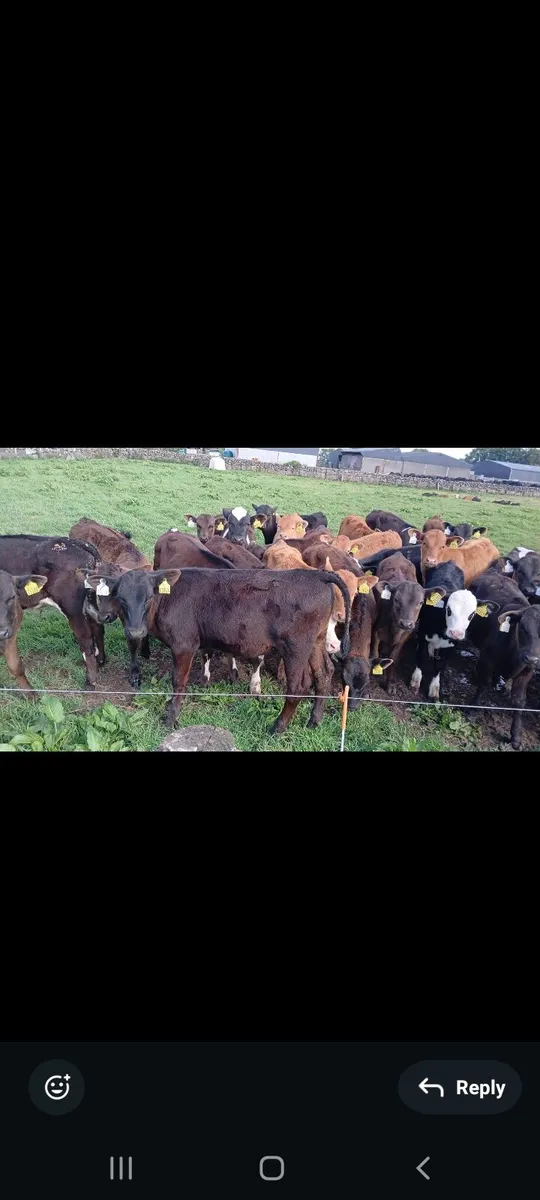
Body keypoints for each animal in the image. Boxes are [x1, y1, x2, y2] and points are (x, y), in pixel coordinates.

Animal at [87, 567, 353, 734]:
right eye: (120, 598)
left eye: (149, 597)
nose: (135, 632)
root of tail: (316, 575)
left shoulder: (184, 644)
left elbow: (178, 682)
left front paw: (171, 717)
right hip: (316, 641)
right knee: (323, 674)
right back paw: (314, 720)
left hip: (296, 647)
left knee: (297, 688)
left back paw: (278, 727)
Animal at [371, 553, 444, 694]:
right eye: (396, 599)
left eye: (420, 602)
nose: (405, 623)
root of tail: (398, 554)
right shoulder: (377, 630)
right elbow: (374, 654)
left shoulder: (405, 636)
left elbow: (394, 658)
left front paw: (391, 684)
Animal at [410, 561, 494, 702]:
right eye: (448, 609)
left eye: (472, 614)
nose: (456, 633)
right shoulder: (422, 634)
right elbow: (420, 656)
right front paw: (415, 682)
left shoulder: (450, 646)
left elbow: (440, 665)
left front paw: (434, 690)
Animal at [469, 569, 540, 750]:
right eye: (523, 627)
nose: (531, 658)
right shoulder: (487, 659)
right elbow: (484, 683)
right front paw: (472, 710)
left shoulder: (527, 671)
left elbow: (519, 701)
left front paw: (515, 736)